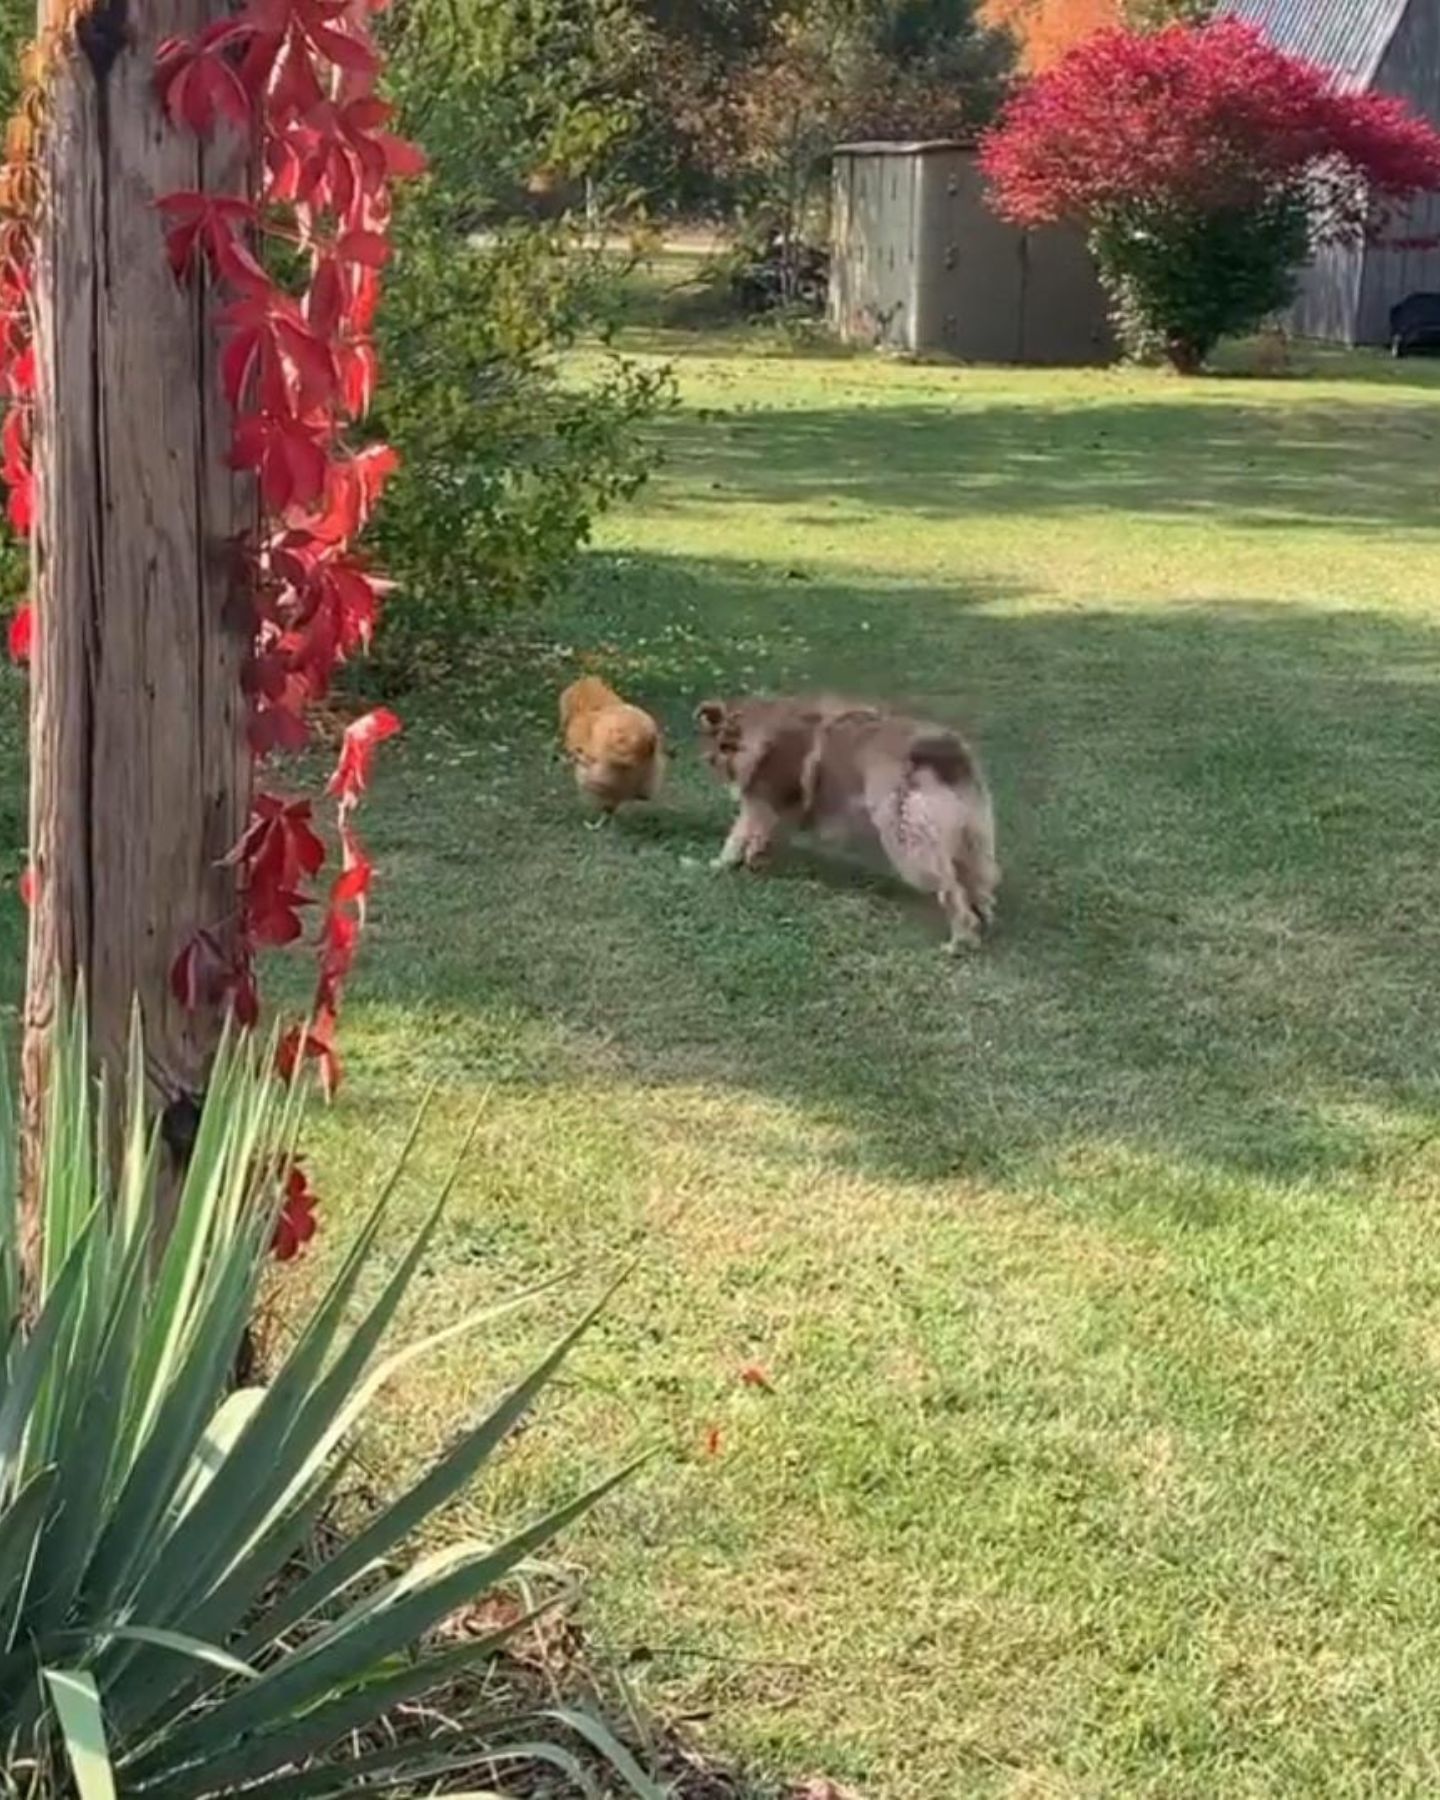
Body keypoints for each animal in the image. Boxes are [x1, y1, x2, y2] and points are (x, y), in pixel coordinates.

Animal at [691, 691, 993, 957]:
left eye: (729, 746)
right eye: (720, 744)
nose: (716, 764)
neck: (762, 733)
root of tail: (941, 751)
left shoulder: (760, 802)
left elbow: (738, 835)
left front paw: (721, 863)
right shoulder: (777, 809)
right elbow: (762, 837)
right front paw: (754, 860)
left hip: (908, 842)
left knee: (951, 891)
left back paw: (959, 940)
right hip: (971, 838)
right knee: (977, 882)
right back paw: (982, 919)